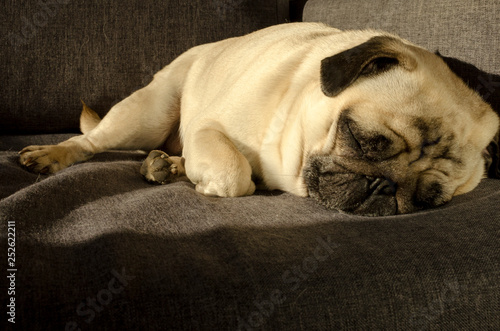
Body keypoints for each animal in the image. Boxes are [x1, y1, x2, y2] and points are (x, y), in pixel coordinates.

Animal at [17, 22, 498, 217]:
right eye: (363, 140)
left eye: (426, 200)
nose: (382, 186)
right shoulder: (209, 130)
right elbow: (235, 176)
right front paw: (214, 182)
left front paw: (185, 172)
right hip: (148, 111)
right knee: (91, 142)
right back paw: (51, 156)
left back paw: (166, 165)